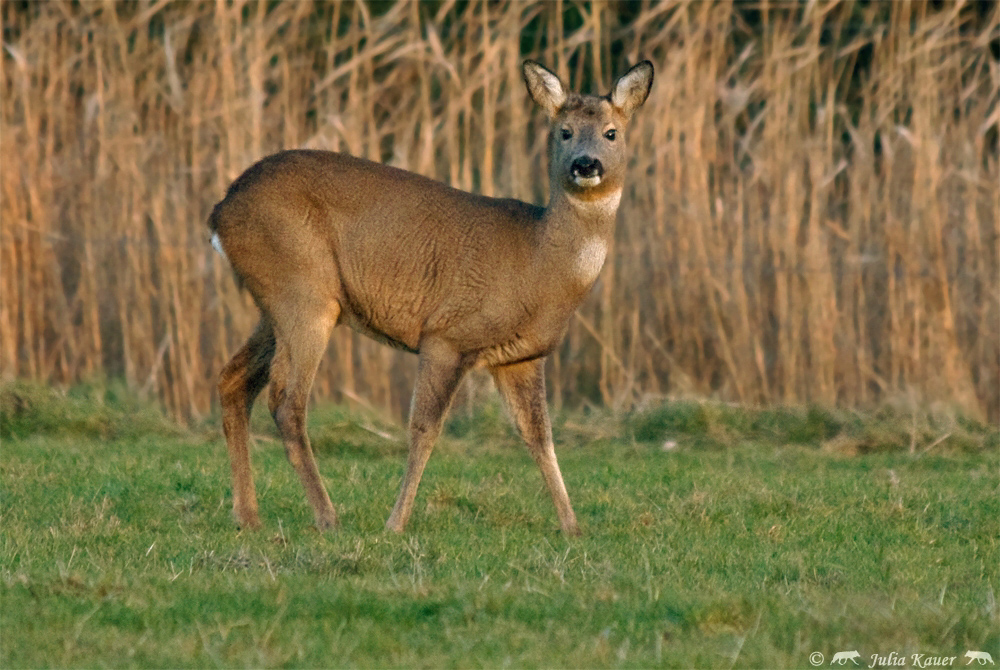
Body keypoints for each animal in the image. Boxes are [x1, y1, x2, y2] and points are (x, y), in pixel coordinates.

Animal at [207, 60, 652, 540]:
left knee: (234, 381)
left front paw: (572, 526)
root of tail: (220, 211)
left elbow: (540, 436)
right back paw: (327, 517)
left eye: (611, 132)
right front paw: (395, 523)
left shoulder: (522, 357)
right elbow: (425, 428)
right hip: (302, 289)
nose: (585, 164)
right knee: (287, 400)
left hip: (278, 302)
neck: (539, 263)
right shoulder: (446, 334)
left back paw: (248, 516)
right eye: (564, 132)